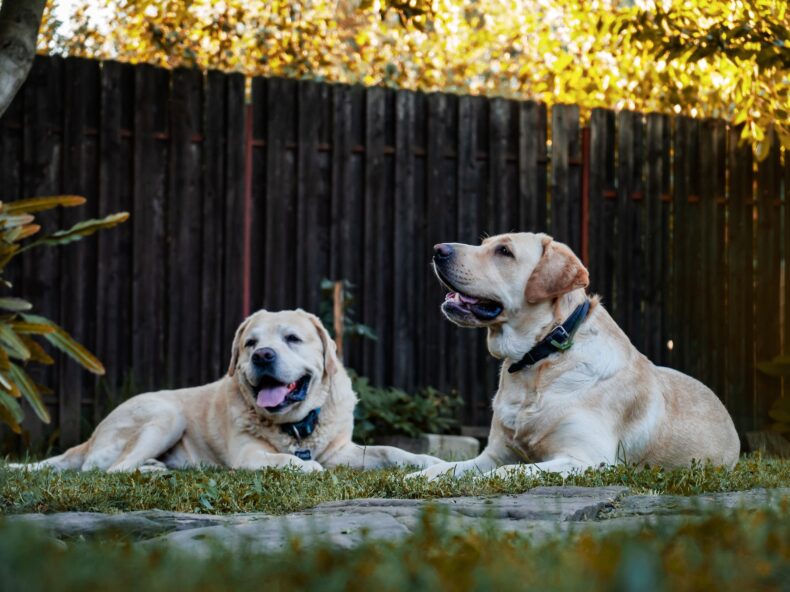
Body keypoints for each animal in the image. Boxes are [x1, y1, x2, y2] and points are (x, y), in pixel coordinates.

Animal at [10, 310, 446, 472]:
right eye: (250, 343)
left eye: (292, 339)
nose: (263, 356)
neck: (296, 427)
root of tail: (88, 438)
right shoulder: (250, 455)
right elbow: (291, 462)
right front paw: (309, 469)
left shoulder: (343, 449)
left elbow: (391, 451)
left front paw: (431, 462)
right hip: (166, 413)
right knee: (106, 470)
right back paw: (150, 471)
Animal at [408, 231, 744, 480]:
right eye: (484, 243)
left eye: (504, 251)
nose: (438, 249)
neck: (539, 360)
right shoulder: (493, 453)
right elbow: (450, 466)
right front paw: (420, 476)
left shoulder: (588, 459)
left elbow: (508, 471)